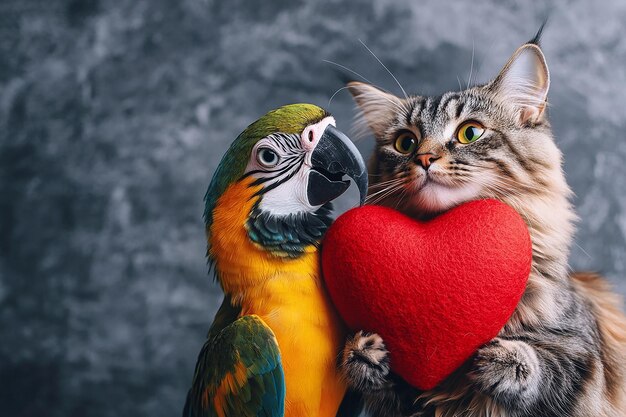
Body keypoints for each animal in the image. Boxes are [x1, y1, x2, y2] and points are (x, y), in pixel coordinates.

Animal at [338, 34, 624, 416]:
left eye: (469, 133)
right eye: (405, 142)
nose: (424, 158)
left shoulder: (585, 360)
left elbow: (551, 366)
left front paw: (503, 360)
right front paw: (362, 353)